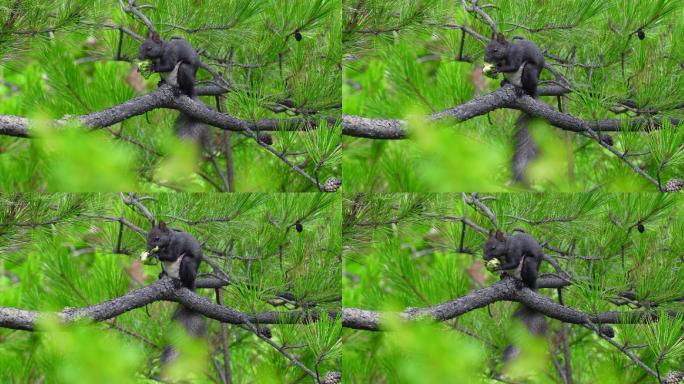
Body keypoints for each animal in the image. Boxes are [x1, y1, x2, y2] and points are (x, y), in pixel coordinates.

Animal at [146, 220, 206, 364]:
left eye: (157, 238)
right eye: (147, 236)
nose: (148, 247)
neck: (169, 240)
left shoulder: (177, 246)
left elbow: (171, 256)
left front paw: (154, 254)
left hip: (187, 264)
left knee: (185, 279)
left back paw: (180, 283)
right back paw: (162, 275)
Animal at [486, 33, 544, 184]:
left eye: (495, 50)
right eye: (486, 47)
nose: (485, 59)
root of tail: (534, 93)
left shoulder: (517, 56)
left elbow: (513, 66)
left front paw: (497, 69)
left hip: (529, 72)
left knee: (527, 87)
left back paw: (521, 90)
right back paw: (504, 82)